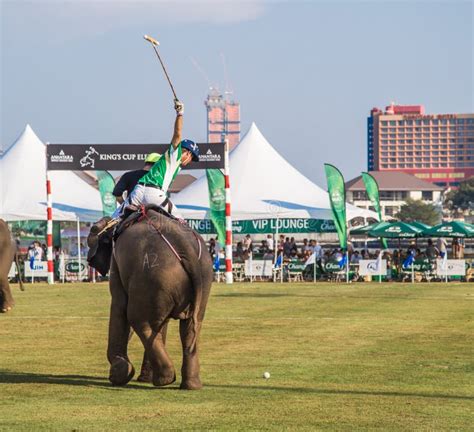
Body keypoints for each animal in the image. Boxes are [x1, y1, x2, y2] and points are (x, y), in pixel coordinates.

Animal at [88, 209, 213, 392]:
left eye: (91, 231)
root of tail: (185, 246)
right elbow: (162, 324)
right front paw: (141, 377)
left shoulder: (117, 264)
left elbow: (119, 305)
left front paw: (119, 374)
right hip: (197, 279)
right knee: (191, 326)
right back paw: (190, 385)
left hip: (152, 275)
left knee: (139, 320)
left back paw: (165, 379)